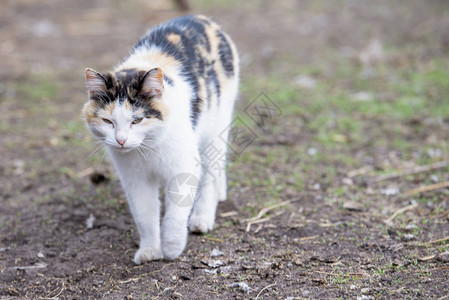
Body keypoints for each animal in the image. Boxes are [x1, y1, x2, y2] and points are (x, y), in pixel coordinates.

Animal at [82, 15, 240, 264]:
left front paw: (172, 247)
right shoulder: (135, 179)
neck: (147, 149)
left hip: (215, 128)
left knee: (210, 172)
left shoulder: (183, 167)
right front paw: (149, 250)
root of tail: (201, 18)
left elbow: (175, 214)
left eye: (137, 120)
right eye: (108, 121)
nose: (121, 141)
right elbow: (145, 216)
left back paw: (202, 218)